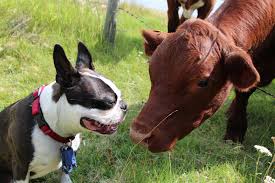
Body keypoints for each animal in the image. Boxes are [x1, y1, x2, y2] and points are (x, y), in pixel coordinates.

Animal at [0, 42, 127, 182]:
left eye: (120, 96)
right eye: (109, 102)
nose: (125, 106)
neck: (48, 126)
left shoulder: (67, 161)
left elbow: (65, 175)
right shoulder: (20, 168)